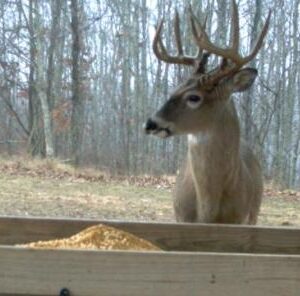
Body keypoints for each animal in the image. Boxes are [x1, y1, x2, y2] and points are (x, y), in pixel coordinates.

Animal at [144, 0, 270, 224]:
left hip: (254, 211)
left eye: (194, 97)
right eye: (175, 87)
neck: (207, 211)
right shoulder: (181, 218)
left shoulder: (240, 221)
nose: (151, 123)